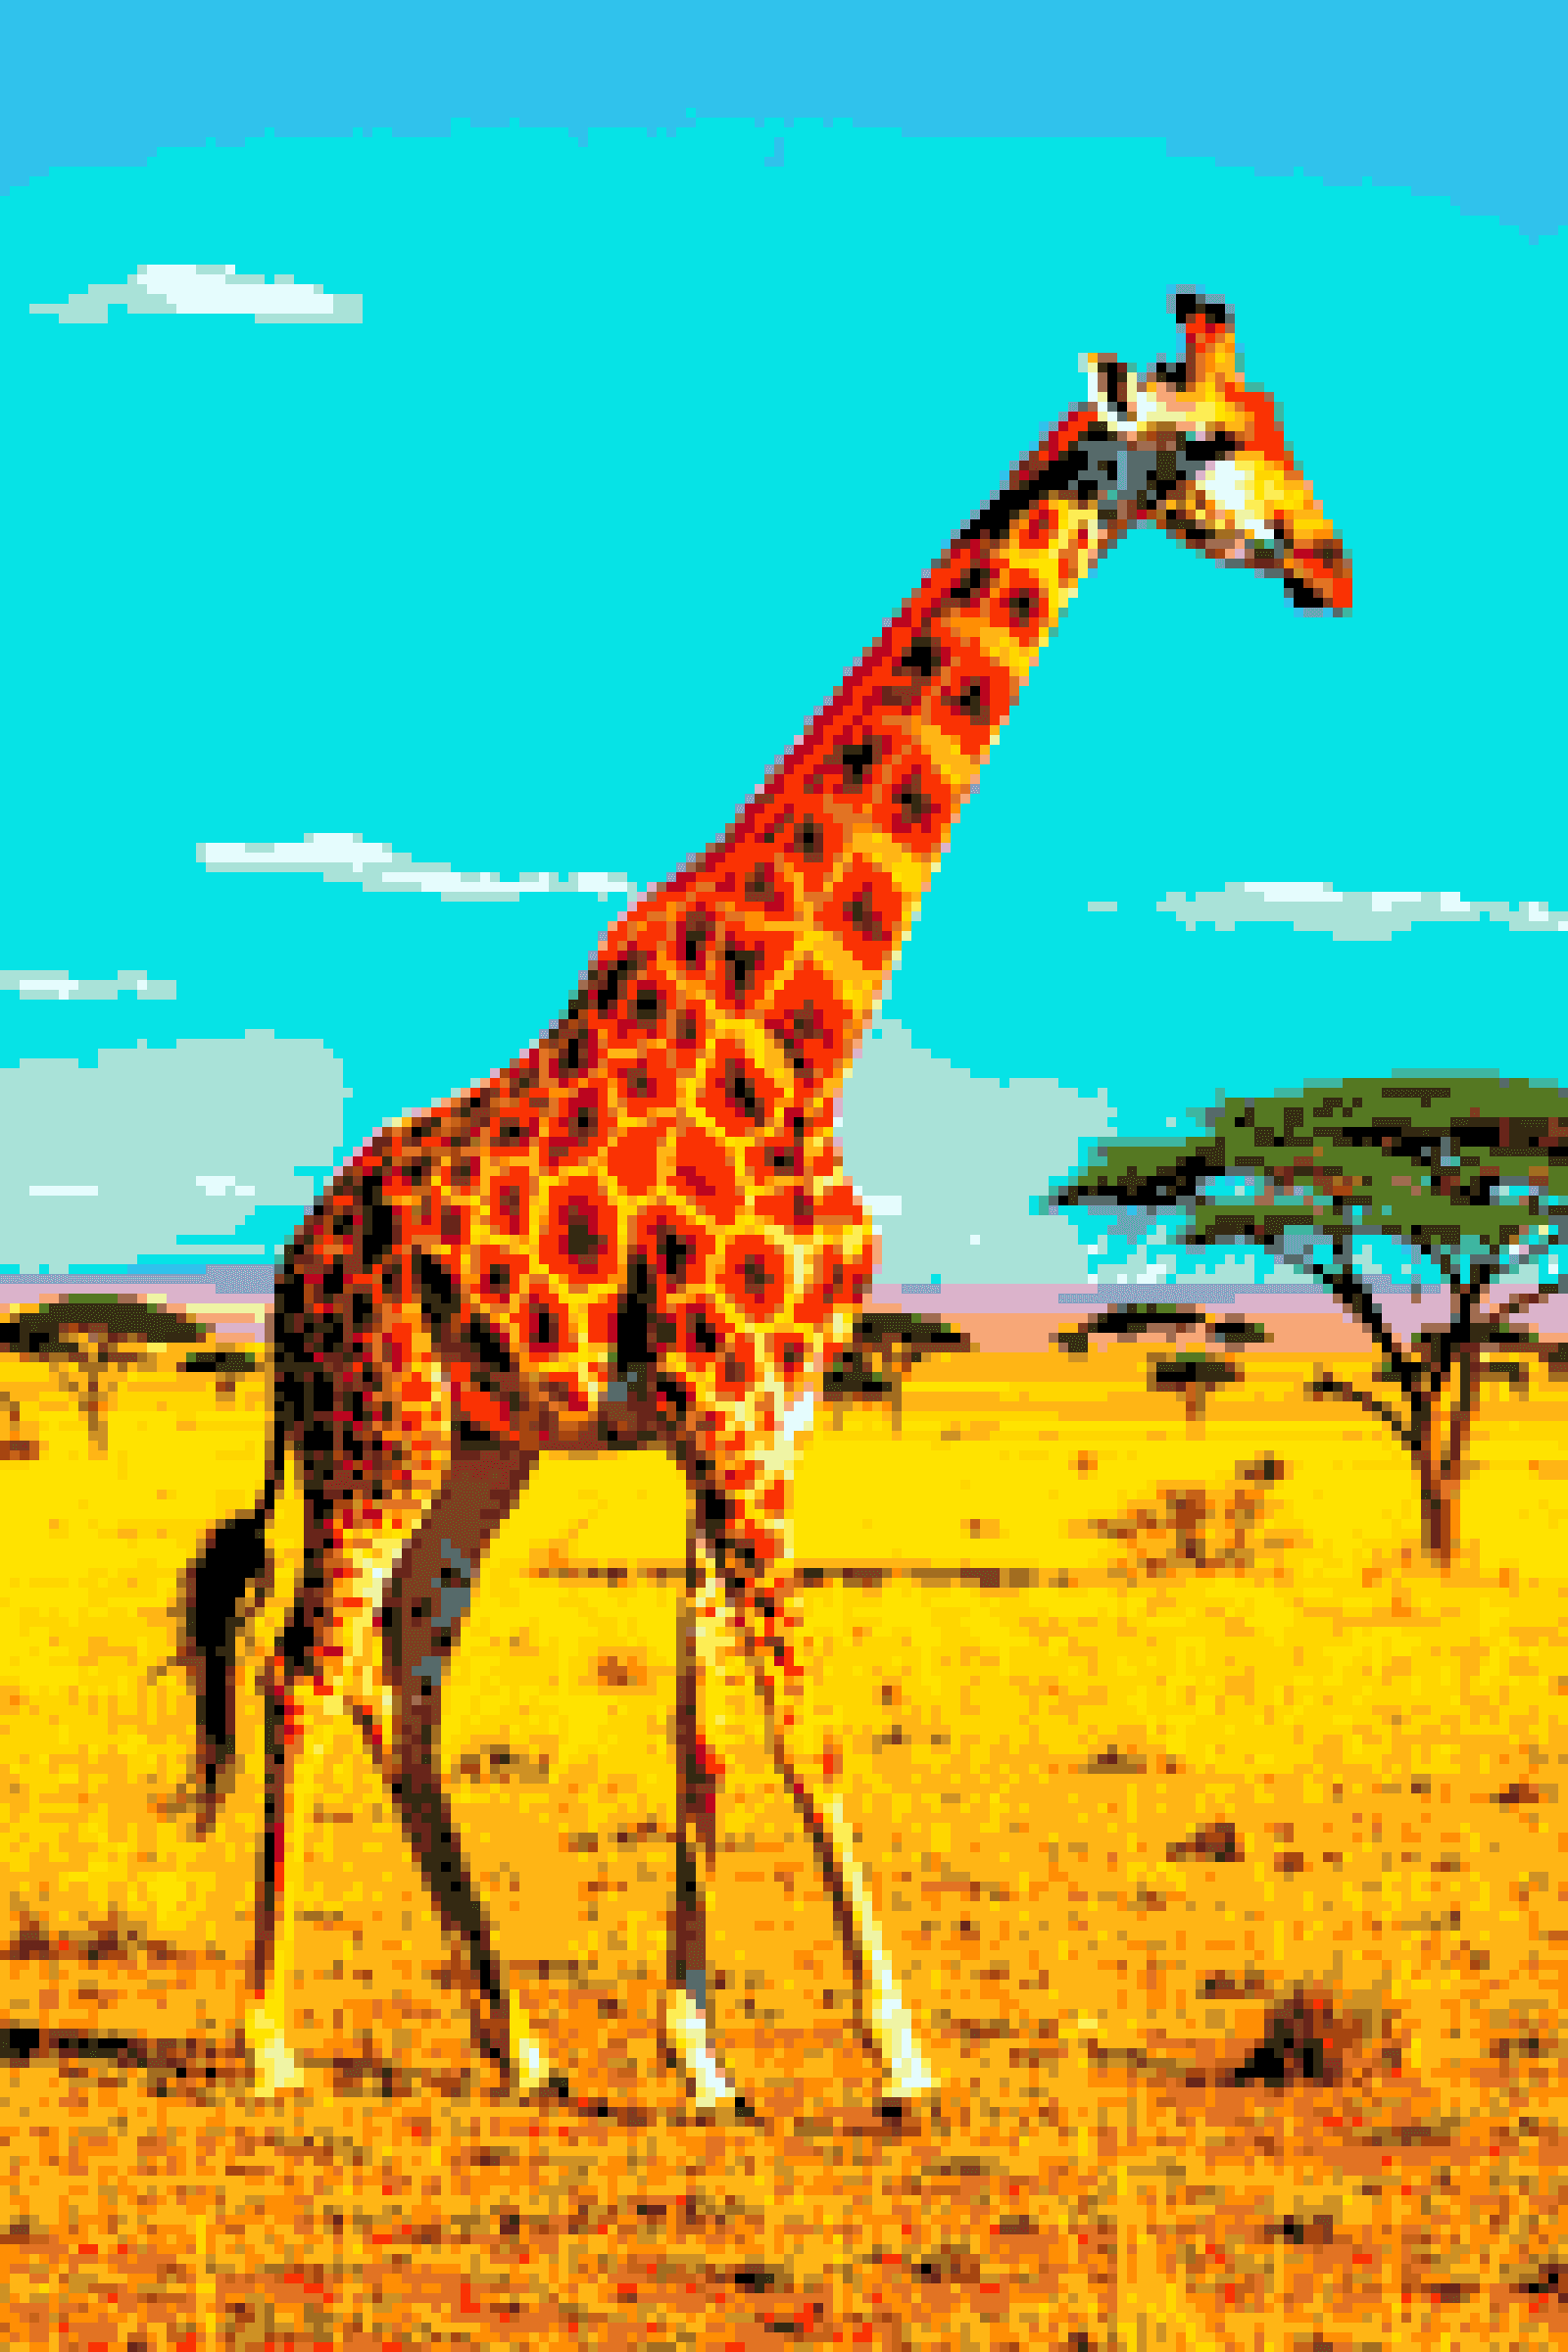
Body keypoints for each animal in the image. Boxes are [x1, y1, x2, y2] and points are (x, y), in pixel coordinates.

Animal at [168, 290, 1350, 2113]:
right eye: (1215, 440)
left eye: (1281, 420)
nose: (1330, 563)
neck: (806, 1038)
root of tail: (291, 1269)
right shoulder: (728, 1410)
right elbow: (804, 1717)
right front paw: (898, 2052)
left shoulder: (773, 1410)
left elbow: (704, 1716)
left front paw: (700, 2052)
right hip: (381, 1422)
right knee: (308, 1656)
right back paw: (272, 2037)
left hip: (484, 1440)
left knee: (404, 1661)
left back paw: (518, 2038)